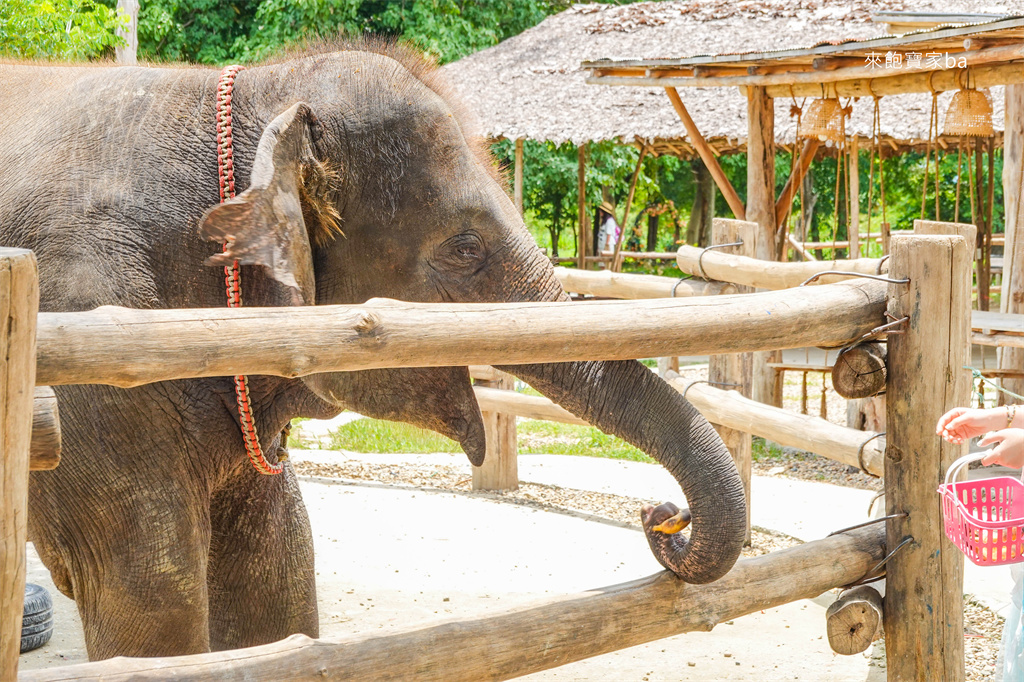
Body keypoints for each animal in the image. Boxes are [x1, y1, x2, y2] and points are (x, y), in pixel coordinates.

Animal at [0, 40, 745, 660]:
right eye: (465, 249)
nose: (662, 516)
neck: (254, 91)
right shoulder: (91, 337)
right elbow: (152, 598)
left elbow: (276, 570)